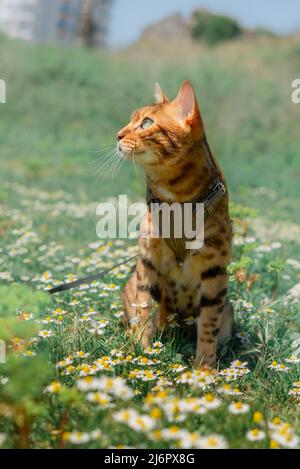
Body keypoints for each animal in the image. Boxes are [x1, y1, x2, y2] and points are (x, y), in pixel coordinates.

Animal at [116, 80, 233, 366]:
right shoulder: (147, 260)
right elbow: (144, 309)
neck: (175, 200)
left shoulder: (215, 269)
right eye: (131, 119)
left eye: (146, 122)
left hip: (229, 309)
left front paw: (204, 368)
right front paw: (142, 351)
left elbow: (208, 326)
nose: (118, 135)